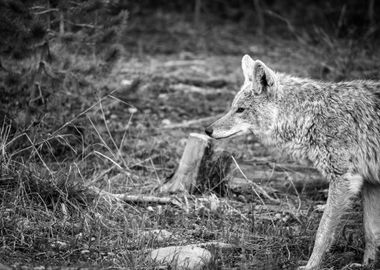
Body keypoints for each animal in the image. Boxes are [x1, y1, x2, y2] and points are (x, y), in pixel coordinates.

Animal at [206, 54, 380, 268]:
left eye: (240, 110)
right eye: (233, 108)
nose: (207, 130)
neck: (310, 115)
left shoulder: (344, 179)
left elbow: (322, 232)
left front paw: (311, 266)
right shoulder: (370, 182)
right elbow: (371, 232)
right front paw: (367, 265)